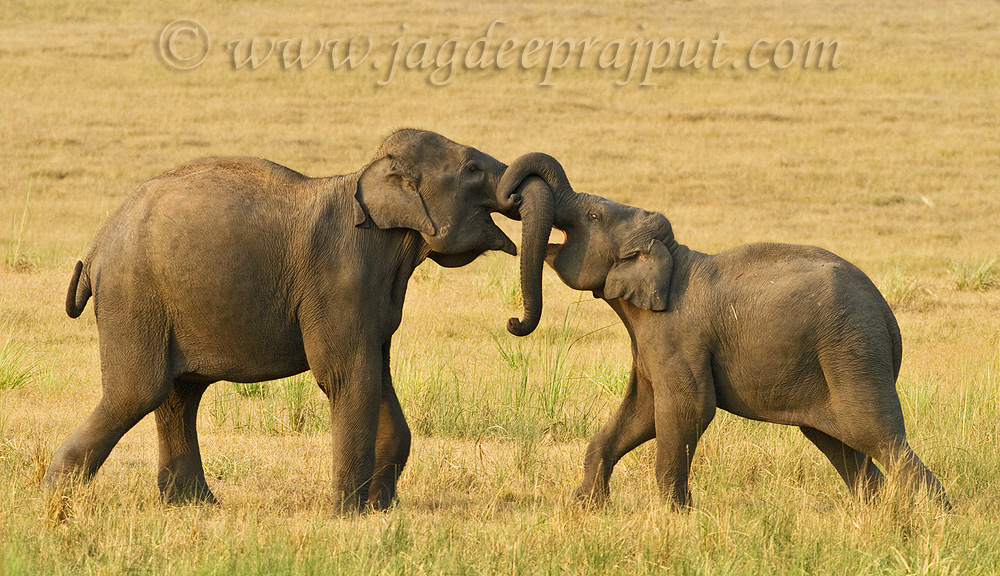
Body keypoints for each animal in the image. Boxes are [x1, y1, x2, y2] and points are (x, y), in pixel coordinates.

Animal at [41, 130, 560, 513]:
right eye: (472, 169)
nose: (513, 322)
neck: (370, 181)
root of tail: (95, 247)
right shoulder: (341, 276)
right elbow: (347, 376)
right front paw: (349, 515)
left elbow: (376, 374)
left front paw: (382, 509)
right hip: (134, 297)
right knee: (139, 392)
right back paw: (55, 496)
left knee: (178, 394)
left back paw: (195, 505)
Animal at [499, 154, 950, 510]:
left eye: (593, 216)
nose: (513, 322)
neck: (673, 256)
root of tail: (888, 318)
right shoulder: (650, 342)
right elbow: (641, 412)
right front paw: (585, 507)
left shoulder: (676, 336)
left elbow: (686, 409)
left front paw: (673, 517)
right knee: (836, 441)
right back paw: (873, 513)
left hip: (852, 350)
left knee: (878, 436)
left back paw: (935, 517)